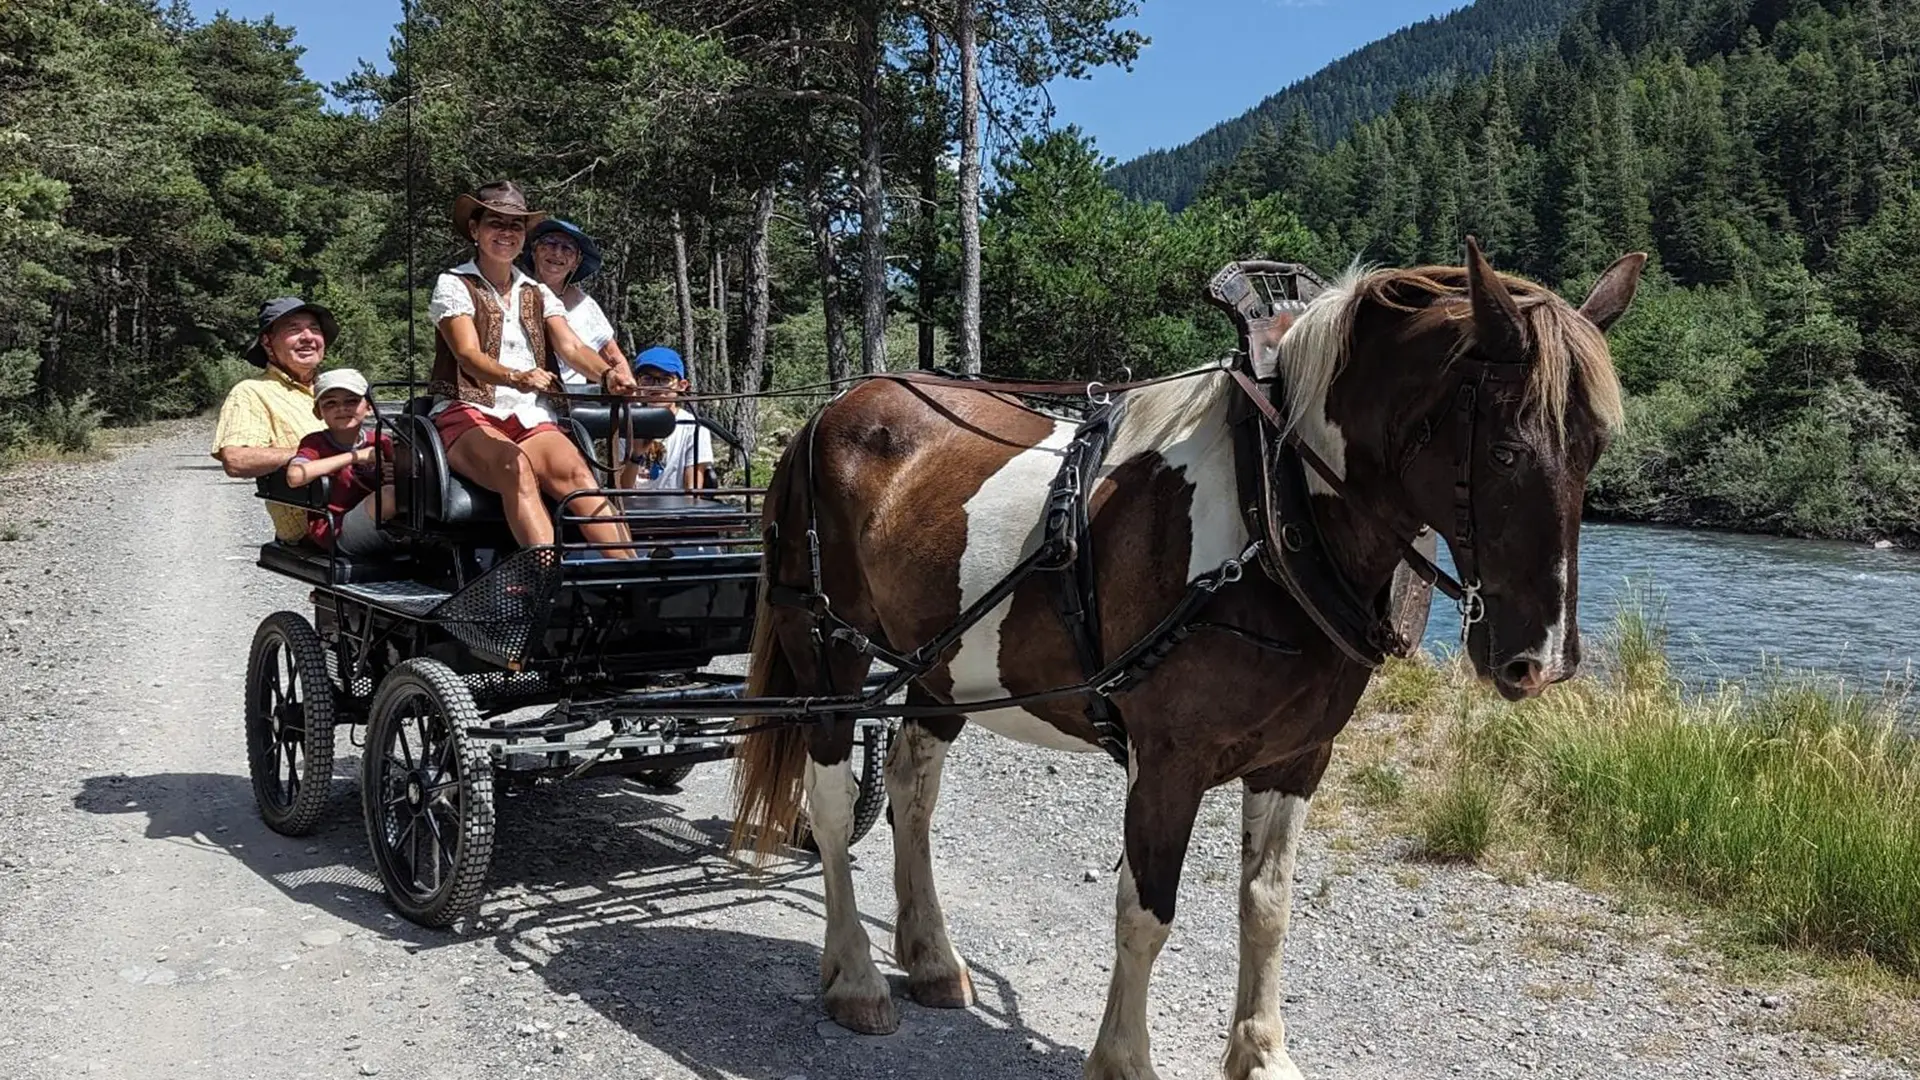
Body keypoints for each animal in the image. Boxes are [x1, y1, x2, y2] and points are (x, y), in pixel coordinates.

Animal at [725, 242, 1643, 1076]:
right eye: (1506, 450)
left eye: (1595, 448)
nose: (1543, 659)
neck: (1274, 508)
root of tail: (831, 410)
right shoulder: (1168, 760)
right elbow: (1146, 911)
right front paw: (1124, 1060)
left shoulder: (1297, 758)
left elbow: (1266, 906)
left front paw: (1263, 1054)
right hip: (828, 655)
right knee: (833, 805)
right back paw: (854, 977)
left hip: (939, 667)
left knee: (913, 795)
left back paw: (930, 960)